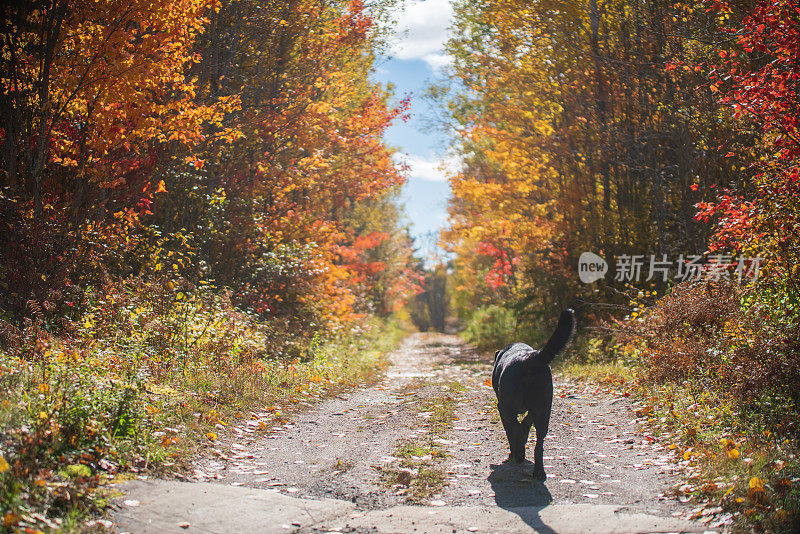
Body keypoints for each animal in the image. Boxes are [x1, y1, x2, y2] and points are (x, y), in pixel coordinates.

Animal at [488, 310, 576, 482]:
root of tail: (528, 359)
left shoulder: (503, 408)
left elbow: (512, 430)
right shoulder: (534, 409)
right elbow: (527, 422)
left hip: (507, 407)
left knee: (516, 430)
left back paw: (518, 454)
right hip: (544, 408)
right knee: (538, 444)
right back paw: (539, 471)